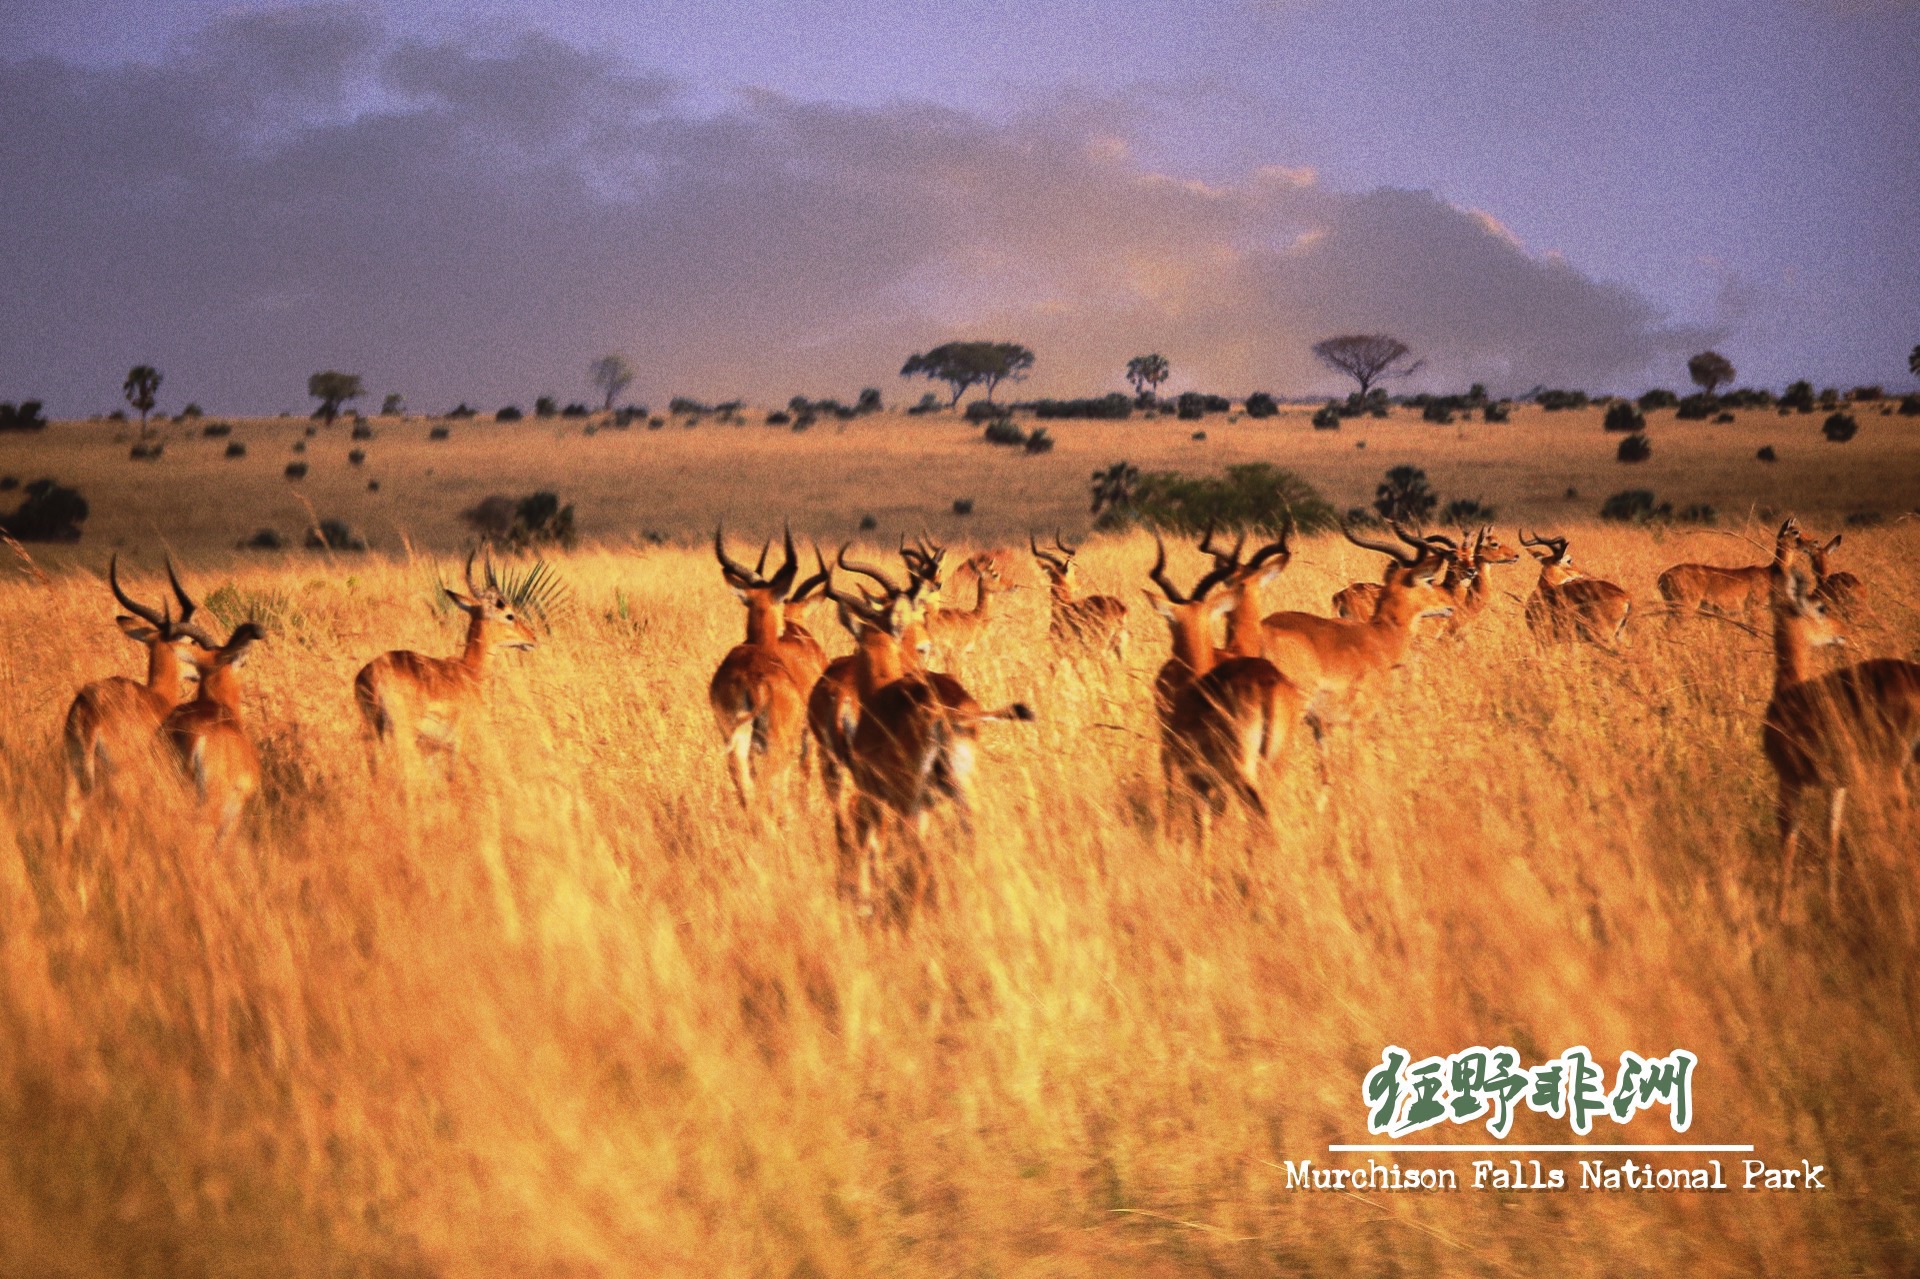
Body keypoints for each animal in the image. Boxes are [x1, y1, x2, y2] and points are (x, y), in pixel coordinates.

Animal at [1658, 514, 1804, 618]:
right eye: (1795, 531)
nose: (1809, 541)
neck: (1771, 572)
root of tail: (1661, 578)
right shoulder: (1754, 607)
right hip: (1685, 606)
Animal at [1758, 553, 1912, 910]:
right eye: (1821, 607)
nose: (1843, 633)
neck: (1788, 690)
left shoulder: (1789, 778)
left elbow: (1788, 839)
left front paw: (1779, 910)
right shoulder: (1836, 785)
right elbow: (1831, 835)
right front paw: (1831, 905)